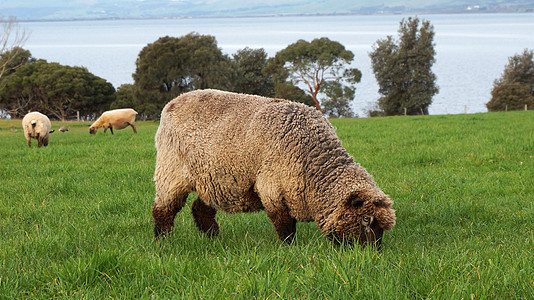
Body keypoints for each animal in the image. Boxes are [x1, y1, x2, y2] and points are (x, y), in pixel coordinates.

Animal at [153, 89, 396, 248]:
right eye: (366, 220)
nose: (373, 254)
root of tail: (174, 101)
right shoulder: (272, 187)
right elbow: (285, 223)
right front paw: (289, 248)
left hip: (214, 179)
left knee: (200, 208)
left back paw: (214, 238)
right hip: (171, 171)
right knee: (163, 209)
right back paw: (162, 241)